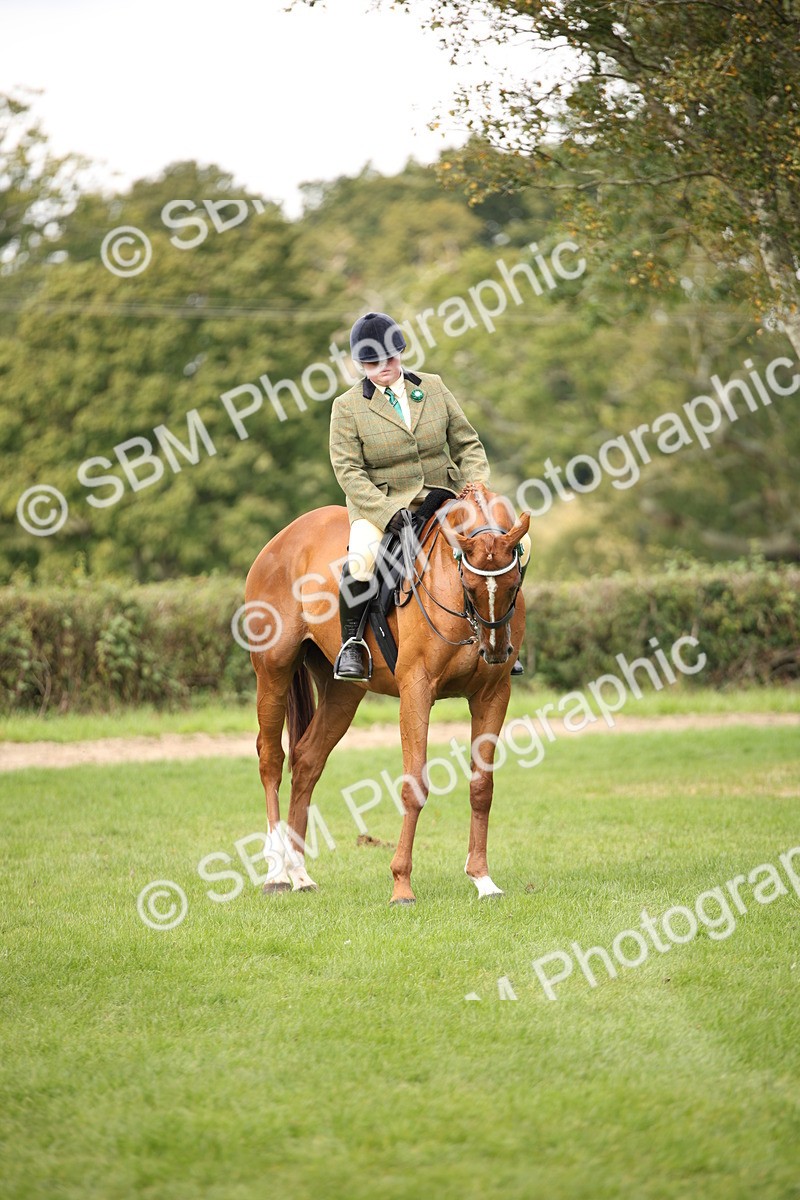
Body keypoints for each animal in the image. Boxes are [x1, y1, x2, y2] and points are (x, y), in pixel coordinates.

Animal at [243, 481, 531, 905]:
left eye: (514, 585)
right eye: (468, 583)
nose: (494, 651)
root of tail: (284, 536)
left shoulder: (493, 694)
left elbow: (482, 786)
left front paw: (482, 879)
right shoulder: (416, 690)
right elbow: (414, 785)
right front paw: (401, 885)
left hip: (342, 693)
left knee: (308, 760)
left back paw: (300, 874)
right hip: (273, 672)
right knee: (271, 761)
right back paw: (276, 873)